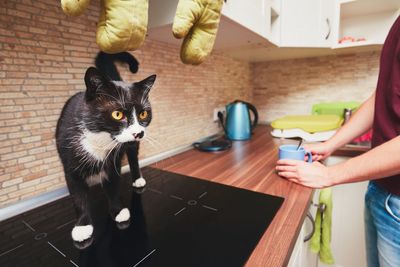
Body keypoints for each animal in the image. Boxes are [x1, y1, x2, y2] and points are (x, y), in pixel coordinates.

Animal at [55, 51, 155, 247]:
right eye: (117, 114)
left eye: (143, 114)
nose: (138, 133)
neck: (100, 139)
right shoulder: (70, 166)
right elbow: (77, 196)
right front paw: (82, 226)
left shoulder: (113, 161)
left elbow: (113, 185)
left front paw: (118, 211)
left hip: (131, 147)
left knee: (133, 158)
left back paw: (137, 179)